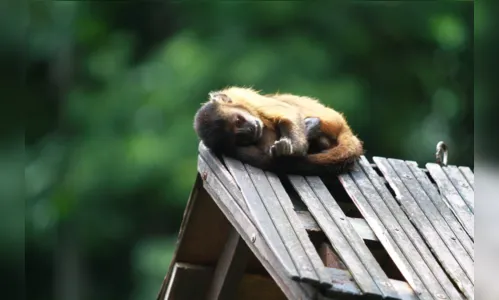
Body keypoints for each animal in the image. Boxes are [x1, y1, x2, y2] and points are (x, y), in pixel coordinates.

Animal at [194, 86, 364, 175]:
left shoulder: (240, 94)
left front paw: (295, 149)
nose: (250, 129)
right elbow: (267, 160)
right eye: (239, 137)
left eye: (238, 120)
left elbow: (287, 113)